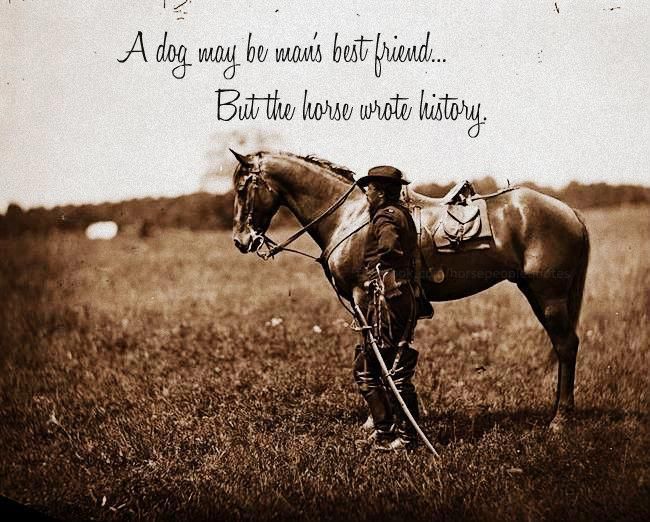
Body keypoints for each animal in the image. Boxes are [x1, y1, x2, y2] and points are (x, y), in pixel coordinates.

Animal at [229, 150, 590, 431]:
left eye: (243, 187)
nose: (241, 240)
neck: (351, 218)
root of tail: (570, 212)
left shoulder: (364, 296)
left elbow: (376, 355)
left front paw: (378, 421)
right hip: (534, 291)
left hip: (549, 295)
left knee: (566, 345)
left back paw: (561, 420)